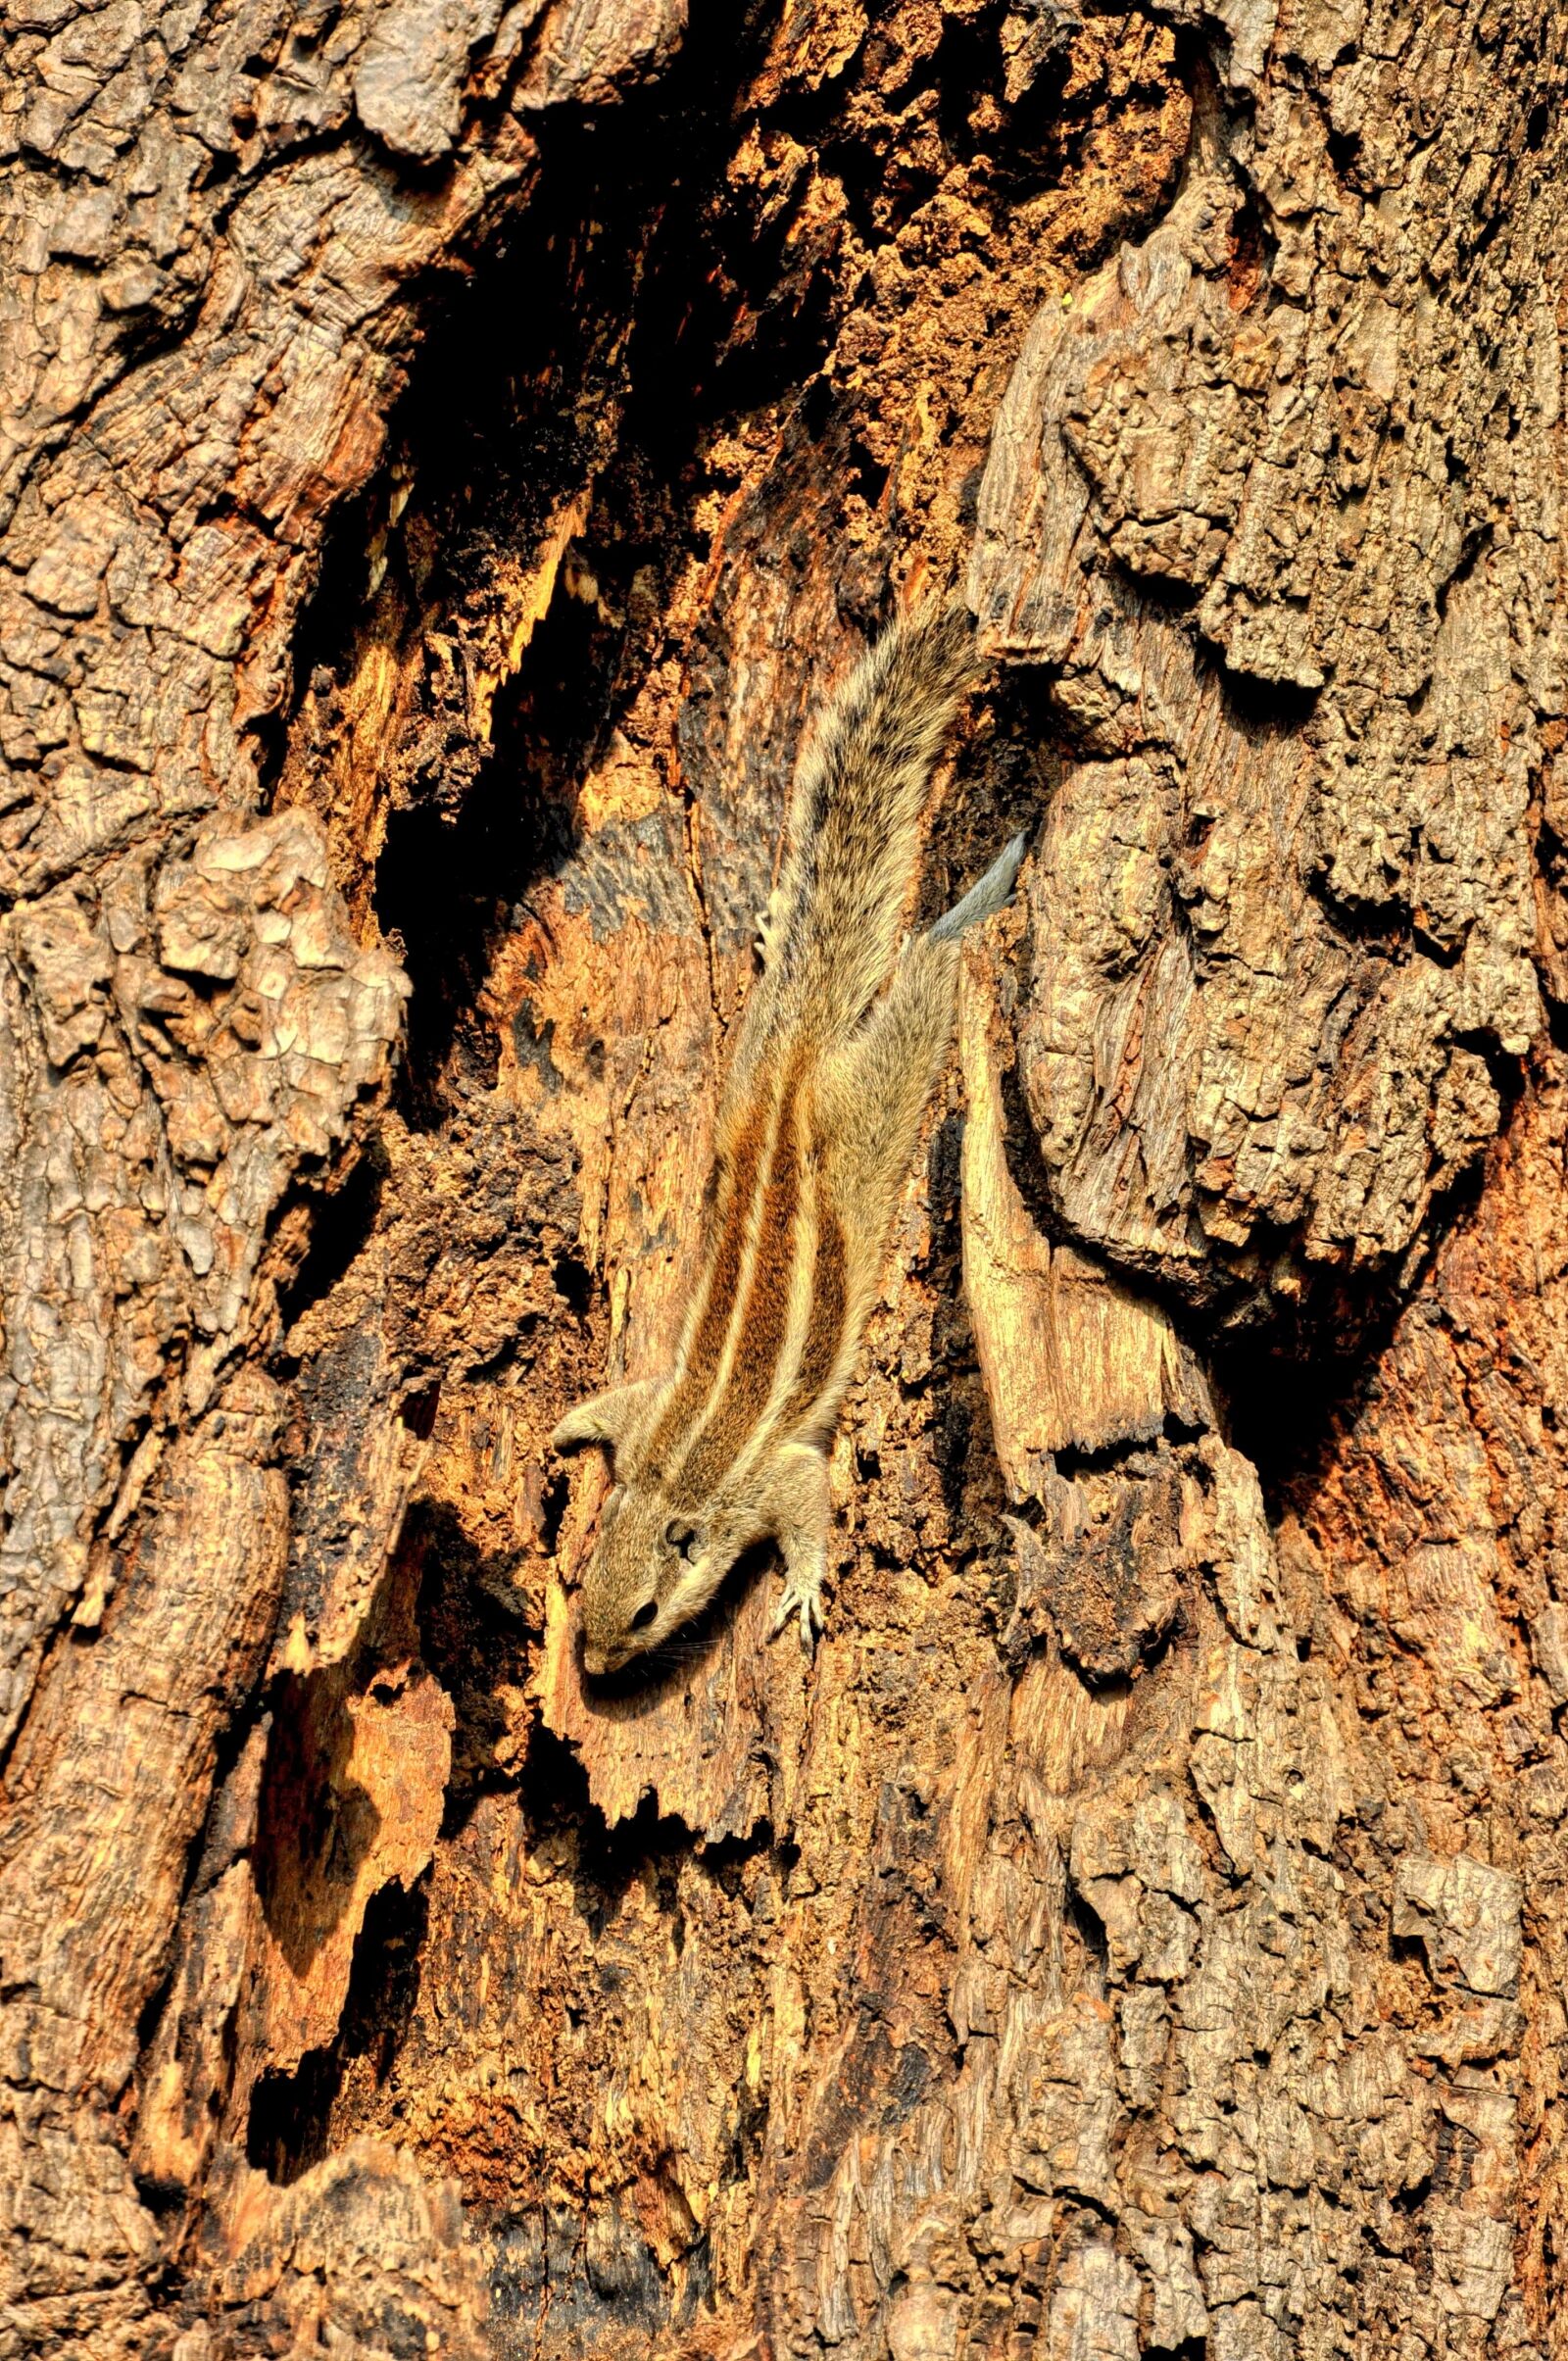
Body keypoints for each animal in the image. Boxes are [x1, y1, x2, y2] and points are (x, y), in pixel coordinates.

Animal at [552, 602, 1025, 1677]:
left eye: (644, 1613)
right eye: (581, 1584)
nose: (593, 1669)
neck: (677, 1474)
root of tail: (795, 1071)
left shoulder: (775, 1478)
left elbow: (811, 1508)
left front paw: (805, 1589)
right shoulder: (649, 1415)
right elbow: (615, 1406)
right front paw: (566, 1425)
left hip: (880, 1096)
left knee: (925, 971)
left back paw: (973, 907)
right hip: (752, 1049)